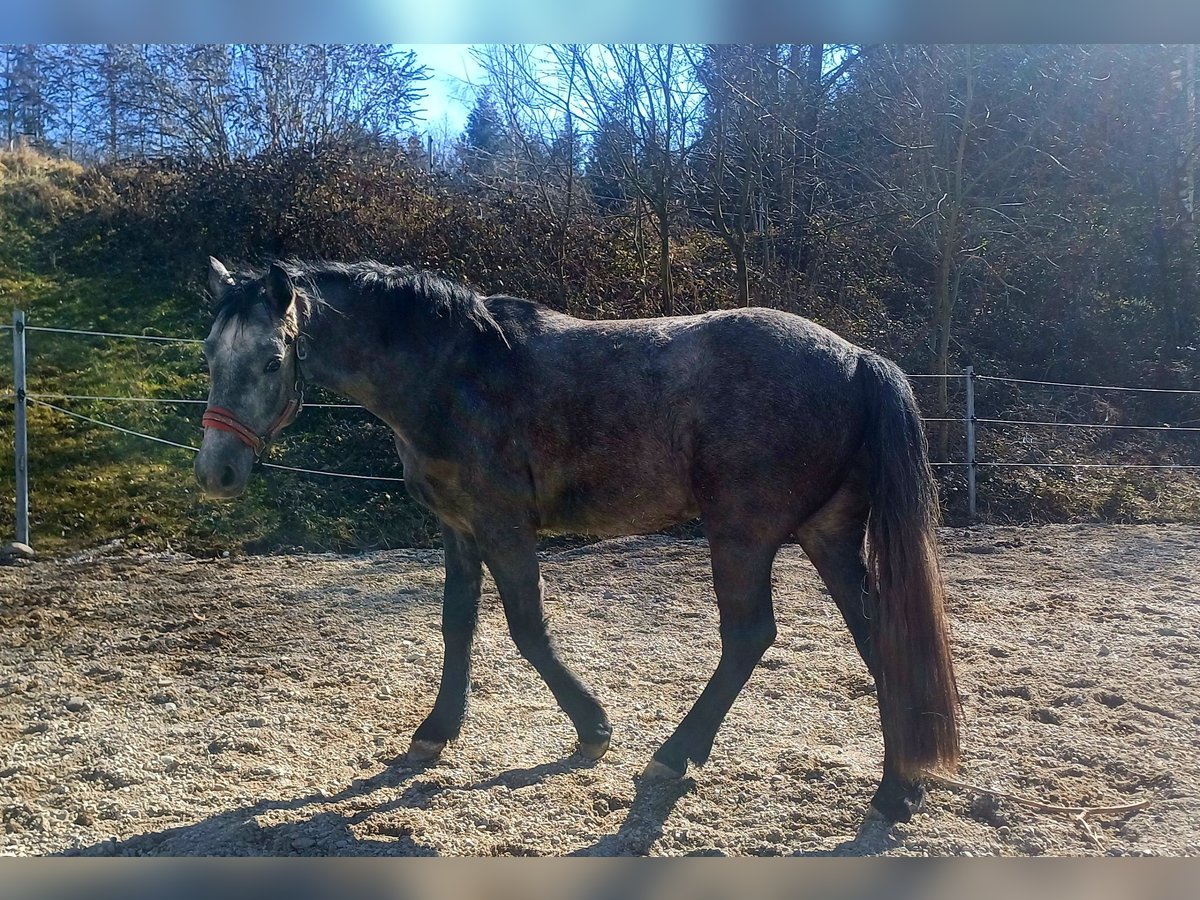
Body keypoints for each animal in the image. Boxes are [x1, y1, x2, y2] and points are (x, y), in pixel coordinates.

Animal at [192, 255, 955, 825]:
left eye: (271, 360)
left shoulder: (503, 527)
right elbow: (457, 625)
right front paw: (435, 732)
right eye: (208, 355)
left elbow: (527, 630)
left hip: (742, 534)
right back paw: (899, 789)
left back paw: (677, 754)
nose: (215, 473)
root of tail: (856, 358)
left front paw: (593, 728)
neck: (453, 373)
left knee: (748, 636)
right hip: (826, 536)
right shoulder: (458, 529)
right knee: (878, 634)